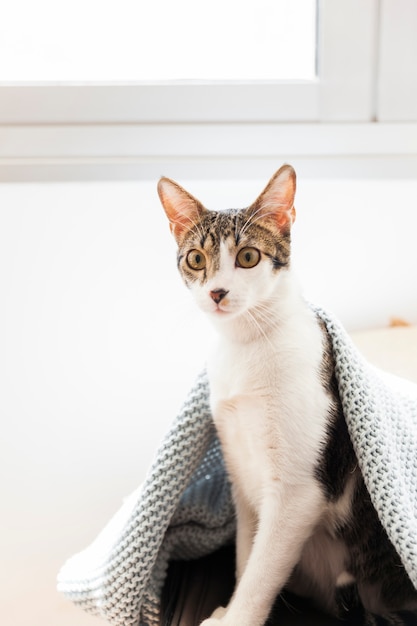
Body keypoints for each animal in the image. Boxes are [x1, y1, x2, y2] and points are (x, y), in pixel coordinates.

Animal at [157, 166, 416, 624]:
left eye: (248, 257)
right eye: (196, 259)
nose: (217, 292)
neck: (247, 344)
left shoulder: (299, 492)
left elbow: (264, 568)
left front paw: (237, 618)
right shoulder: (240, 474)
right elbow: (247, 553)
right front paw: (229, 607)